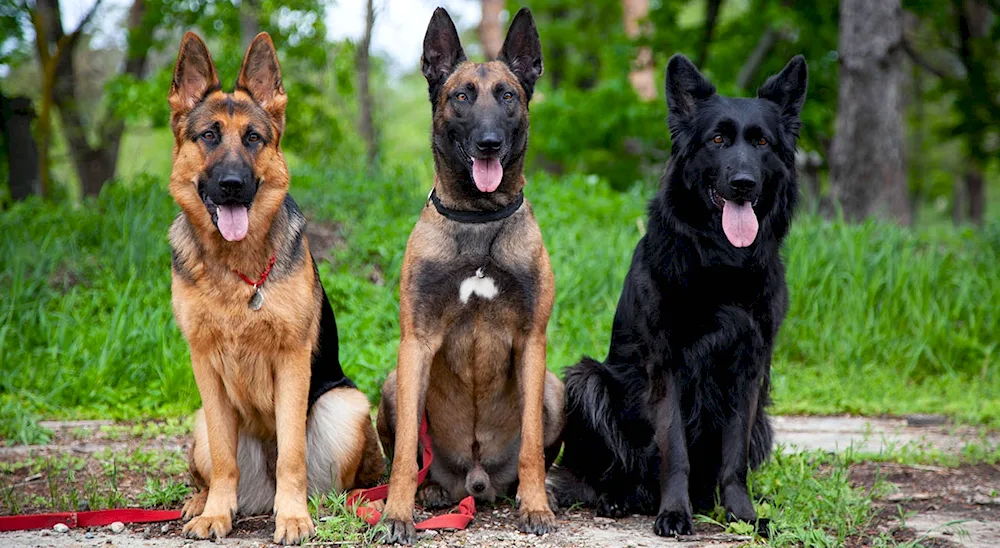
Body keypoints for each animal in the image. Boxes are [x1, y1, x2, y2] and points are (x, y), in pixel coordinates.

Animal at [168, 33, 382, 544]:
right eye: (209, 136)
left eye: (253, 138)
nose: (231, 185)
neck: (235, 269)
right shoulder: (204, 364)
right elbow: (224, 457)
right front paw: (216, 513)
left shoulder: (291, 361)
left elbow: (291, 454)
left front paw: (293, 518)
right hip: (200, 421)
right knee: (215, 469)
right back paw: (202, 501)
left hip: (346, 405)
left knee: (327, 477)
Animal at [376, 7, 564, 544]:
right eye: (461, 96)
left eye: (507, 96)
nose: (489, 143)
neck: (479, 222)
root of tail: (476, 481)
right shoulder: (415, 343)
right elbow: (404, 454)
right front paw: (396, 514)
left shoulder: (532, 342)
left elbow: (531, 446)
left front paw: (536, 506)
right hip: (392, 385)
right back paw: (432, 491)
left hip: (555, 388)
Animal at [552, 54, 808, 536]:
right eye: (718, 139)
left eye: (762, 142)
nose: (743, 182)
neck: (722, 262)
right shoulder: (666, 365)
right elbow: (675, 450)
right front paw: (674, 512)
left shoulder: (749, 369)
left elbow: (734, 458)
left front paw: (743, 515)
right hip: (587, 381)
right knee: (598, 473)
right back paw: (618, 497)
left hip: (764, 420)